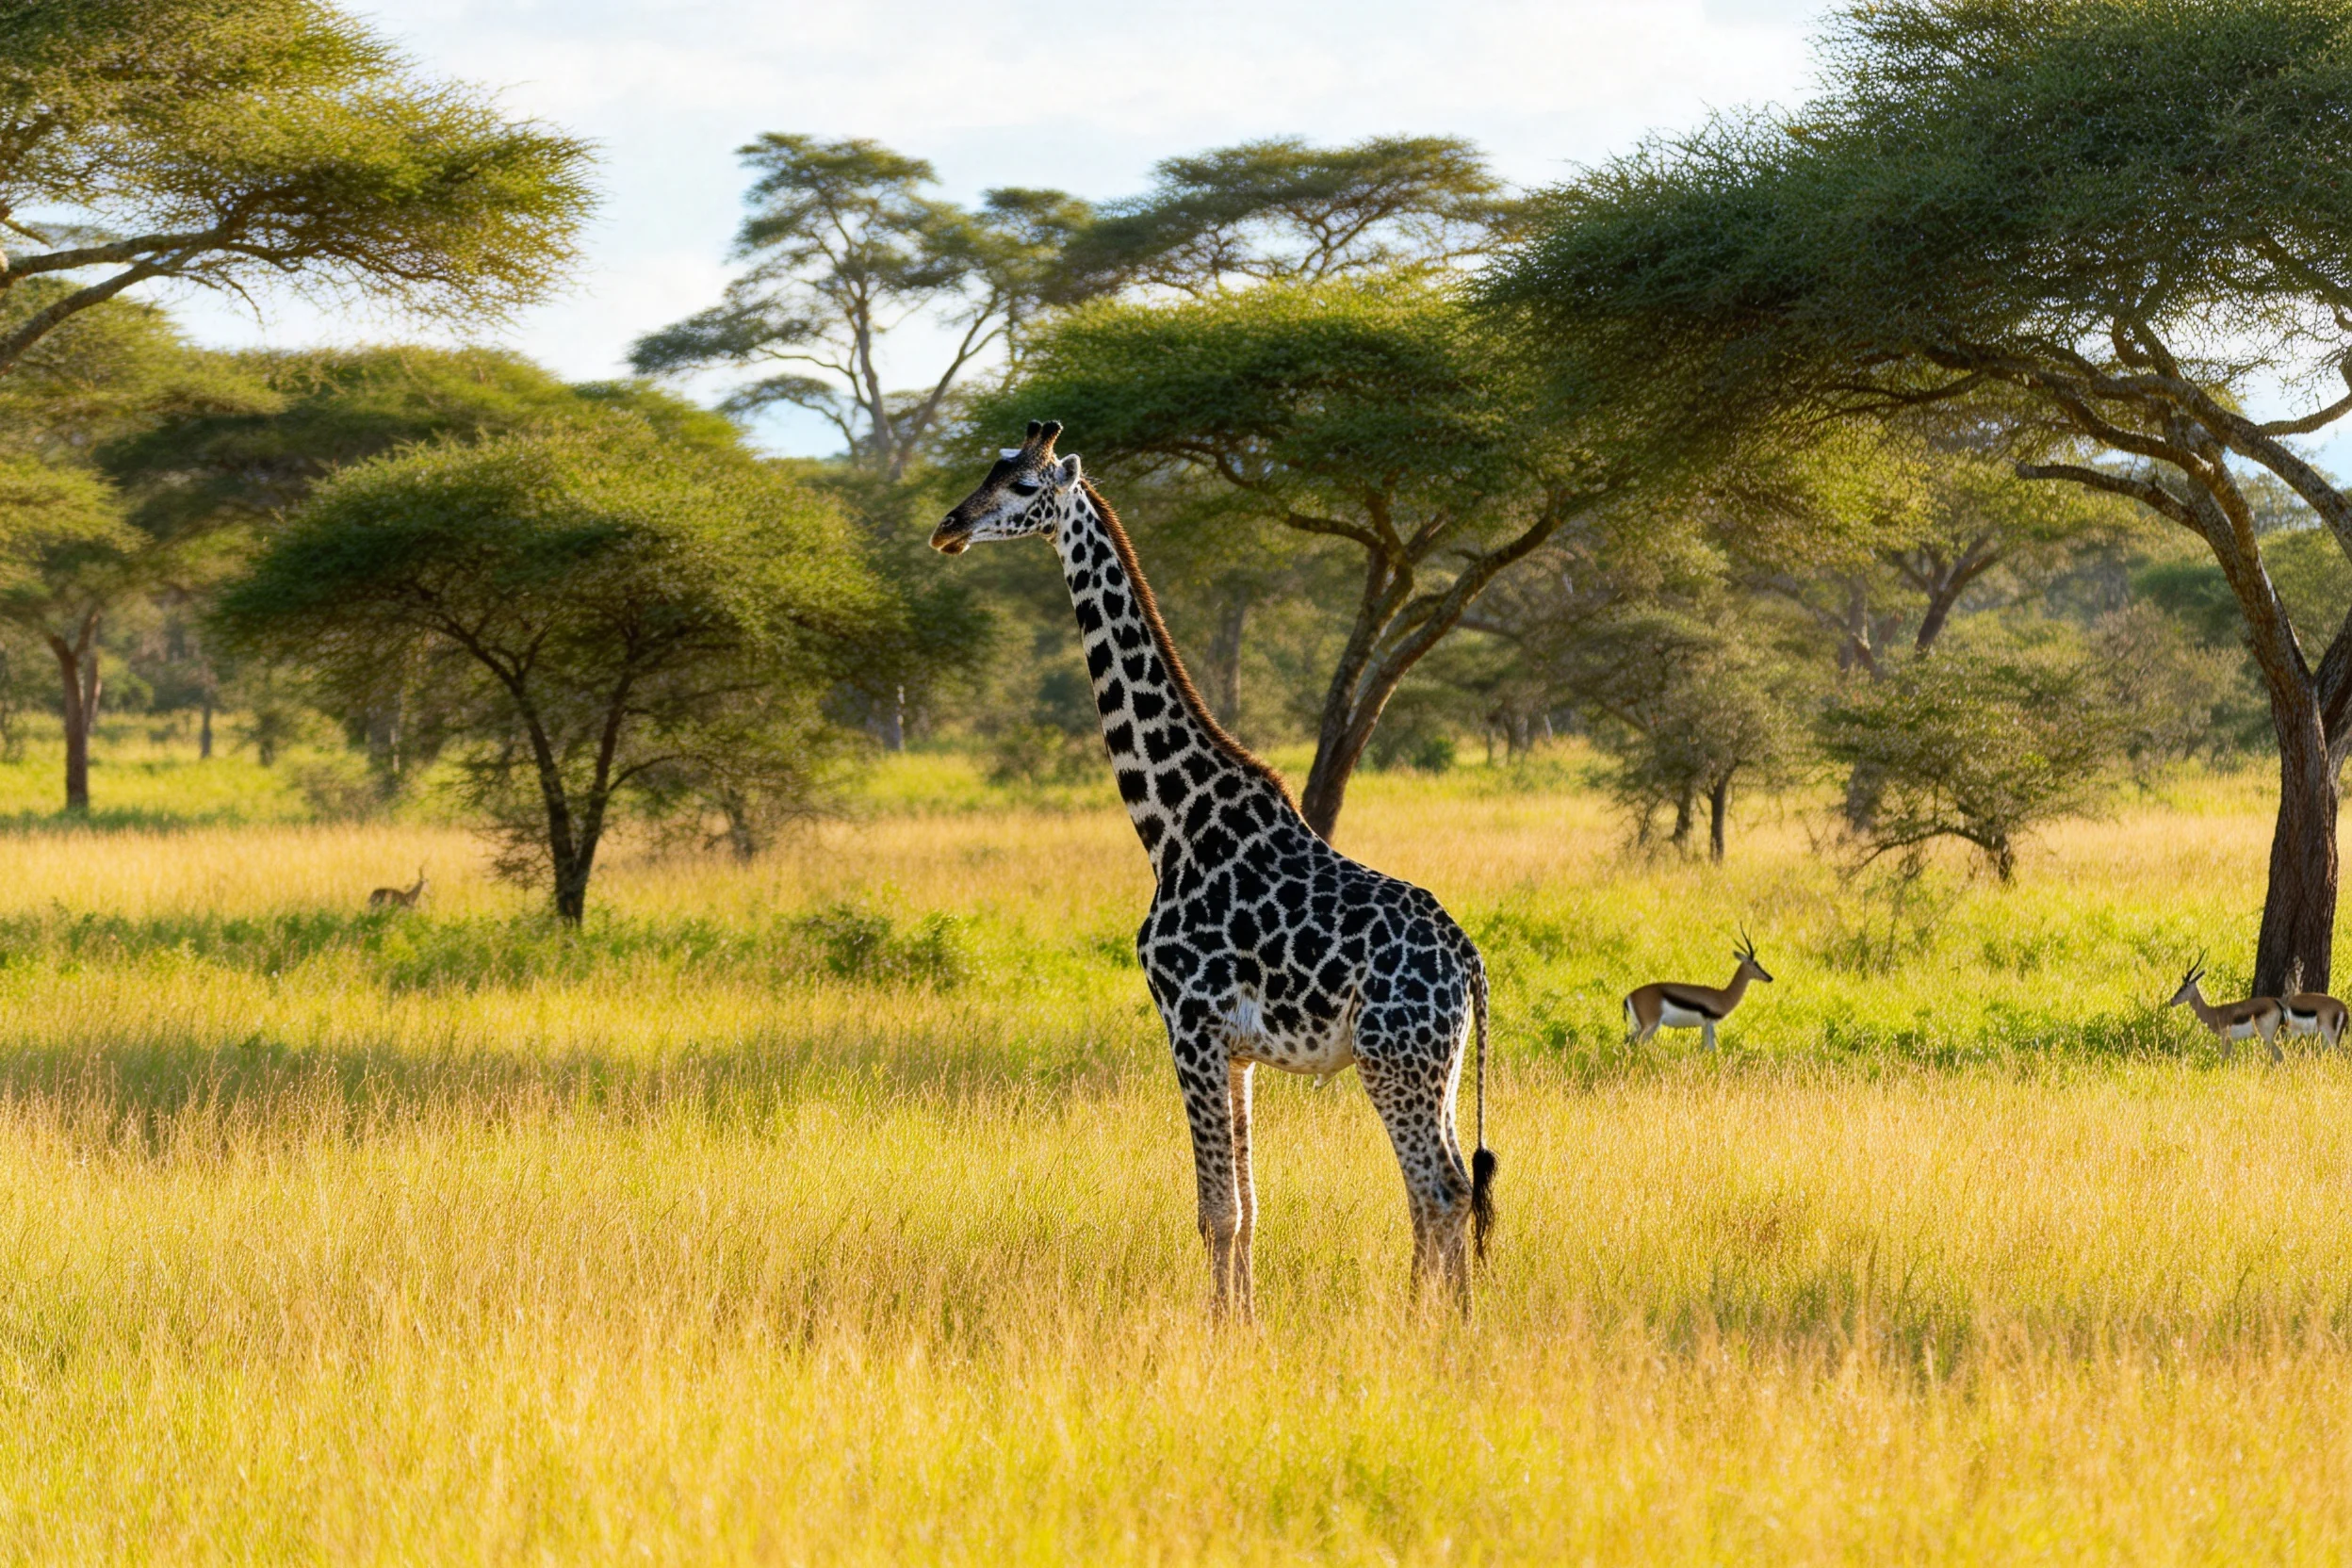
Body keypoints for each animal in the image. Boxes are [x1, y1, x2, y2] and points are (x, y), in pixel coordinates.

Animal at [1625, 930, 1773, 1051]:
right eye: (1755, 964)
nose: (1769, 978)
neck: (1723, 996)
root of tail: (1629, 997)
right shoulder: (1709, 1023)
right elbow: (1711, 1049)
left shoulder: (1704, 1025)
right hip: (1651, 1026)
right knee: (1637, 1043)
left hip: (1638, 1026)